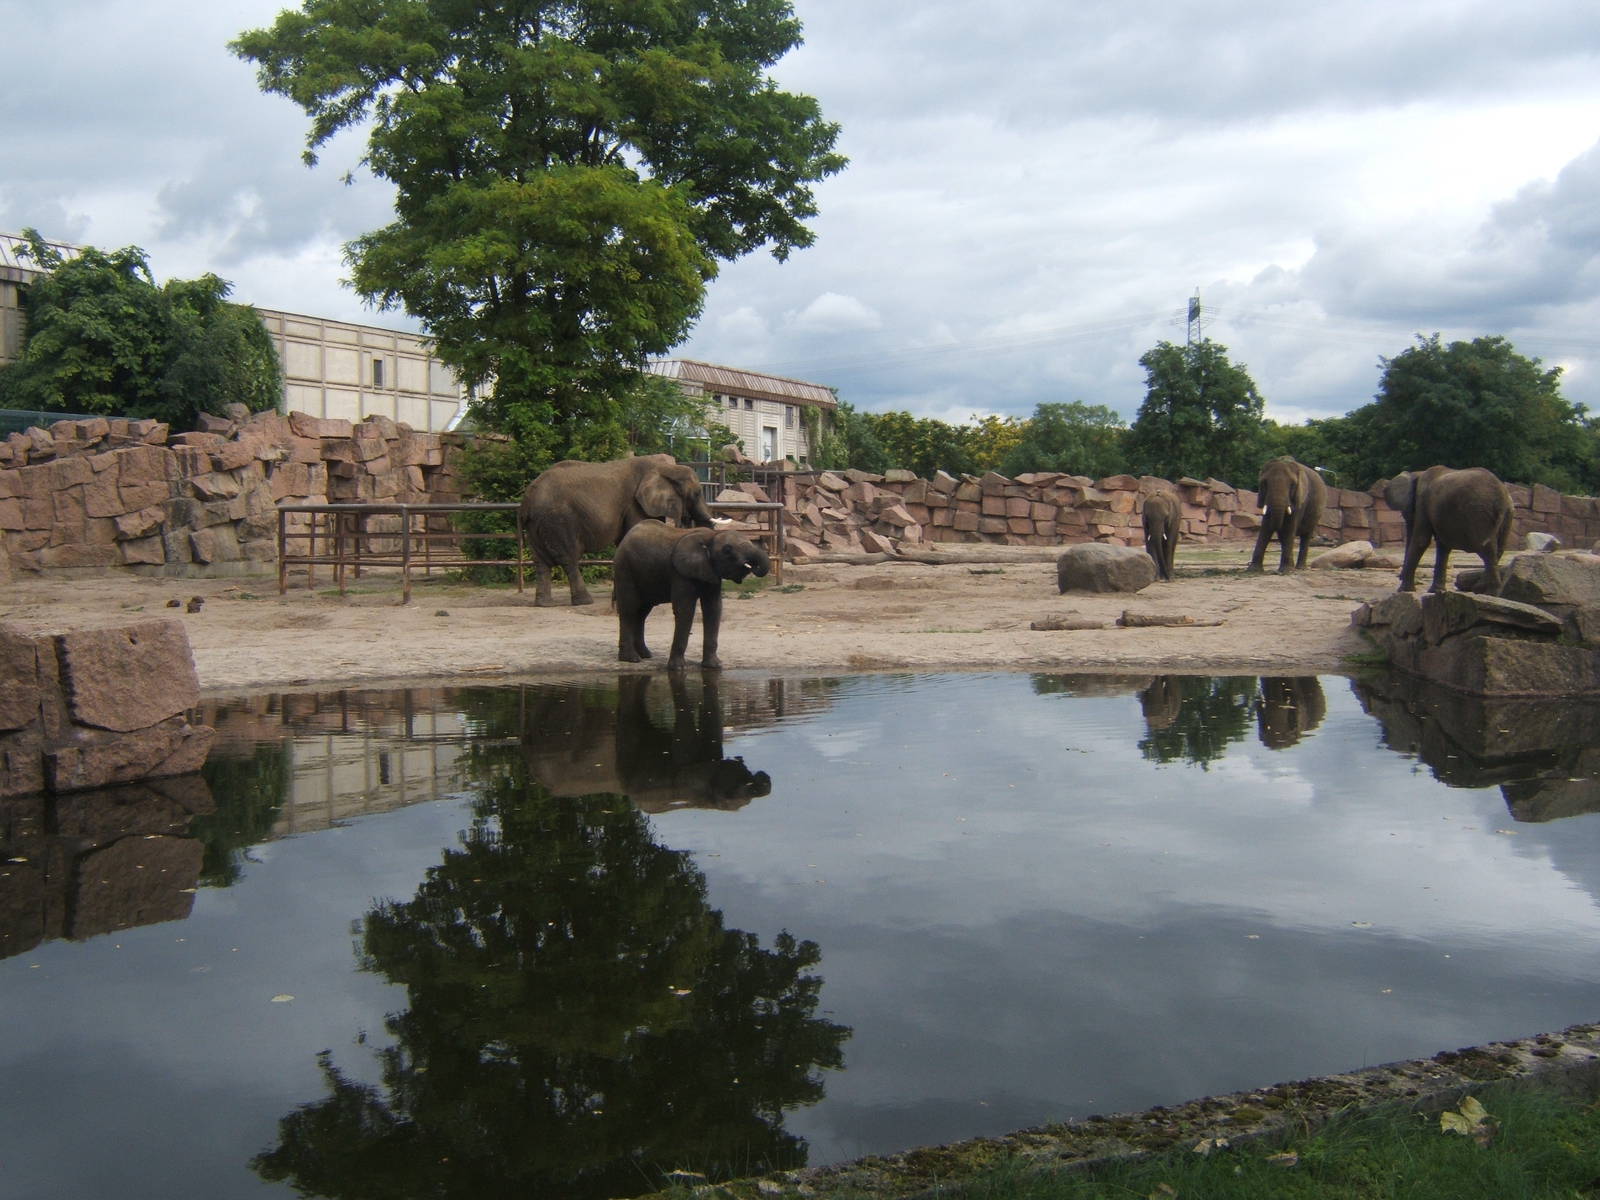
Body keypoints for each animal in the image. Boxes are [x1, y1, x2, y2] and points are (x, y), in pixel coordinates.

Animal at [518, 453, 714, 606]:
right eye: (697, 493)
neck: (665, 468)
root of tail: (527, 498)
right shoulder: (635, 504)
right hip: (558, 520)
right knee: (569, 558)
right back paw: (584, 601)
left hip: (537, 523)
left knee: (541, 562)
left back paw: (544, 604)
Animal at [613, 520, 770, 671]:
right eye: (727, 550)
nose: (751, 566)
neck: (711, 536)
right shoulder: (680, 573)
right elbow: (685, 610)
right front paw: (678, 668)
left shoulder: (711, 572)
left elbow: (714, 609)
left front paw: (714, 666)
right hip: (624, 568)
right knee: (629, 609)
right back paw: (631, 659)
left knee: (642, 612)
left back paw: (646, 655)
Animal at [1383, 465, 1514, 594]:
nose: (1399, 577)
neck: (1418, 473)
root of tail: (1501, 495)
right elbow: (1443, 545)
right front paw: (1437, 591)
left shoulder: (1423, 501)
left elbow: (1421, 540)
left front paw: (1403, 591)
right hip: (1508, 514)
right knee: (1497, 549)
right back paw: (1483, 590)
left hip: (1478, 512)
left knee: (1486, 548)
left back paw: (1488, 591)